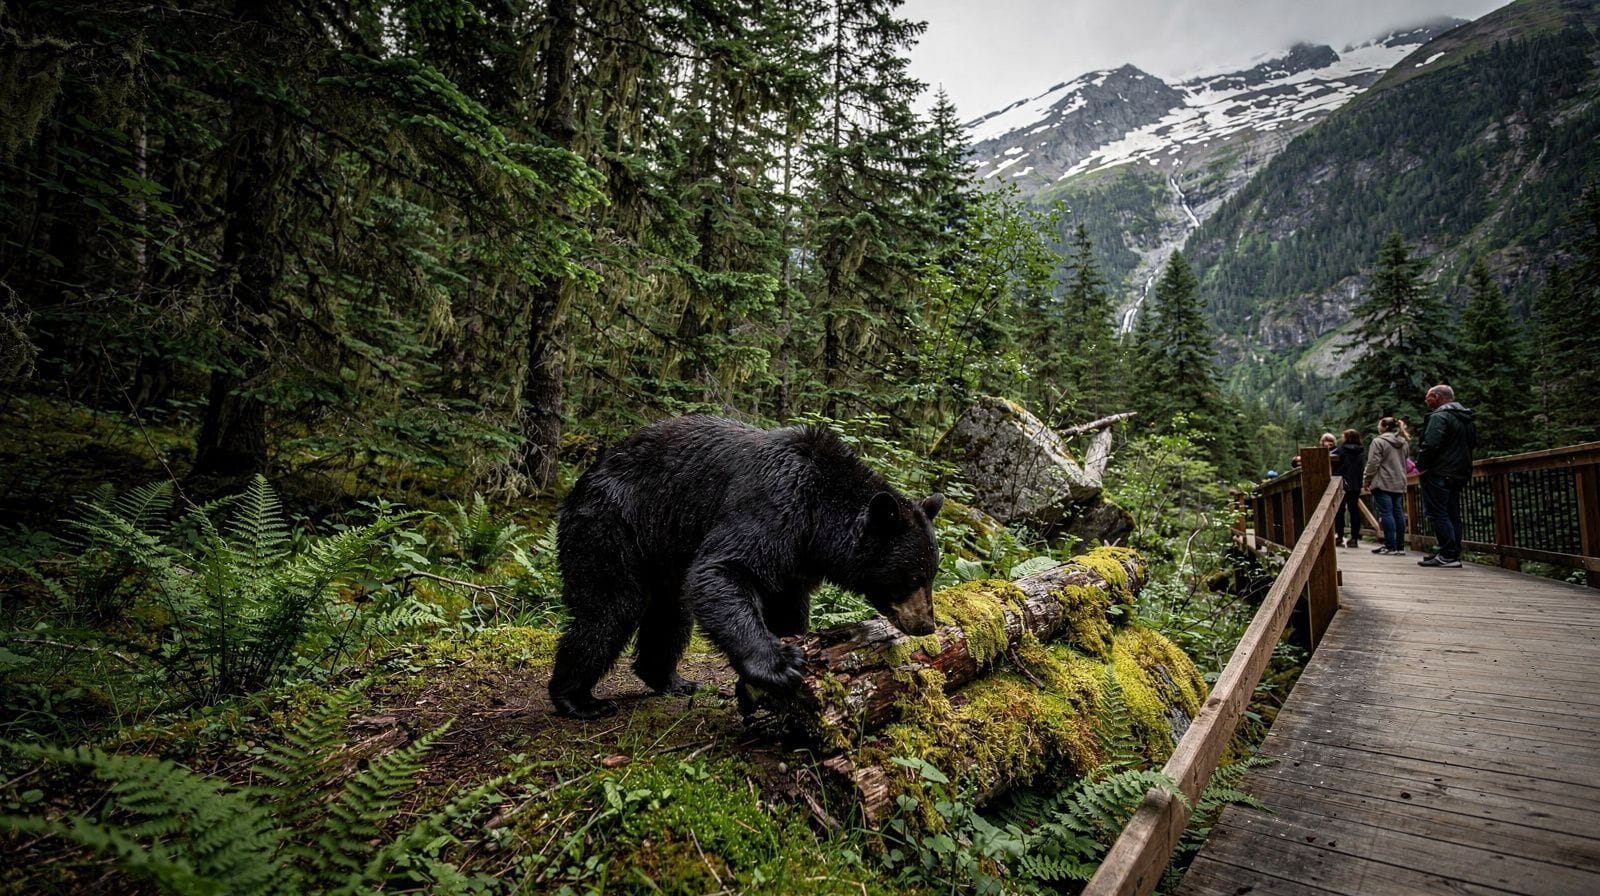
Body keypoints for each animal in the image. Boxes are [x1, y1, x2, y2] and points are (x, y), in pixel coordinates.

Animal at [548, 415, 944, 719]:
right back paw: (577, 699)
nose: (926, 625)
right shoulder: (774, 506)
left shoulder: (795, 560)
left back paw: (672, 680)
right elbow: (722, 570)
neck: (818, 517)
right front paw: (781, 664)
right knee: (610, 609)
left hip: (664, 550)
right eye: (911, 576)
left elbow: (785, 607)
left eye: (932, 574)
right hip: (612, 526)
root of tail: (586, 478)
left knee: (672, 613)